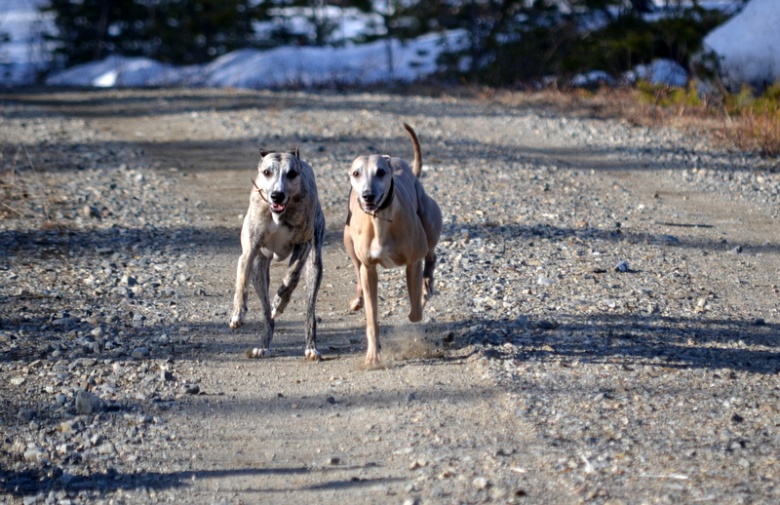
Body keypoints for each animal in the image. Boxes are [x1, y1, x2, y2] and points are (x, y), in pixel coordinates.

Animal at [229, 148, 325, 360]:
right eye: (267, 172)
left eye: (292, 173)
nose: (277, 195)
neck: (278, 215)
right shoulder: (249, 251)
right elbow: (241, 281)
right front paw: (238, 314)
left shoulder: (303, 244)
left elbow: (291, 277)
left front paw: (280, 302)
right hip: (259, 271)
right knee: (266, 313)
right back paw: (263, 345)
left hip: (315, 266)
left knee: (309, 311)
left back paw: (311, 347)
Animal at [343, 123, 442, 365]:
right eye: (356, 173)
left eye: (380, 172)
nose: (368, 195)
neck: (380, 221)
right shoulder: (369, 269)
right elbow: (372, 318)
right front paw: (373, 355)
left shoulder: (413, 262)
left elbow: (415, 311)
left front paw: (422, 297)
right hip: (347, 239)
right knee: (356, 268)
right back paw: (358, 299)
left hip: (429, 223)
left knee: (431, 256)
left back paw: (427, 284)